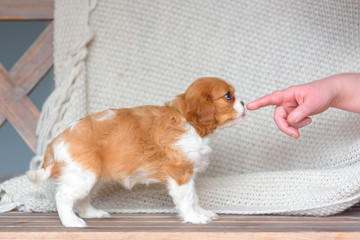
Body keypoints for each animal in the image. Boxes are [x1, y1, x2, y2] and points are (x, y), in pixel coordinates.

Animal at [26, 77, 246, 227]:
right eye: (228, 96)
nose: (244, 103)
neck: (187, 120)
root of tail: (56, 142)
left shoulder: (187, 174)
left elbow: (195, 197)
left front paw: (201, 212)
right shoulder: (179, 173)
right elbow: (188, 198)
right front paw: (194, 217)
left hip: (93, 176)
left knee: (81, 198)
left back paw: (93, 214)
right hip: (83, 174)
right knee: (63, 196)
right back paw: (71, 222)